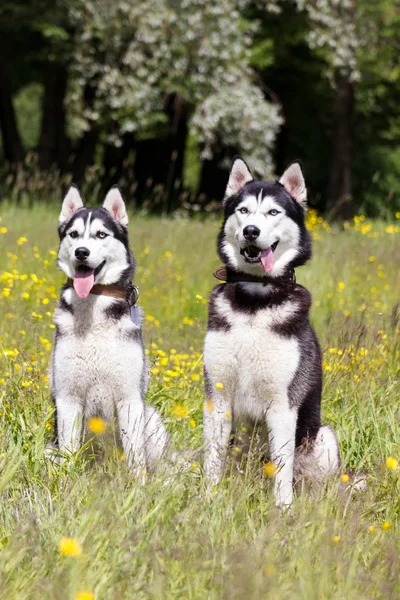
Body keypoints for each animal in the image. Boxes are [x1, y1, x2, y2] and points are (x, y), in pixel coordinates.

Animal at [51, 185, 167, 476]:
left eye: (101, 234)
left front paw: (137, 485)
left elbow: (135, 455)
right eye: (73, 234)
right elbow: (69, 450)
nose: (81, 252)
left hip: (152, 418)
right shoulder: (68, 398)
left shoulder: (130, 399)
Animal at [205, 158, 340, 506]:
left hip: (324, 436)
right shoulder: (217, 396)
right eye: (243, 210)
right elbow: (212, 459)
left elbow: (281, 466)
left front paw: (283, 508)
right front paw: (207, 499)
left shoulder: (282, 404)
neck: (255, 299)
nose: (251, 231)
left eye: (273, 212)